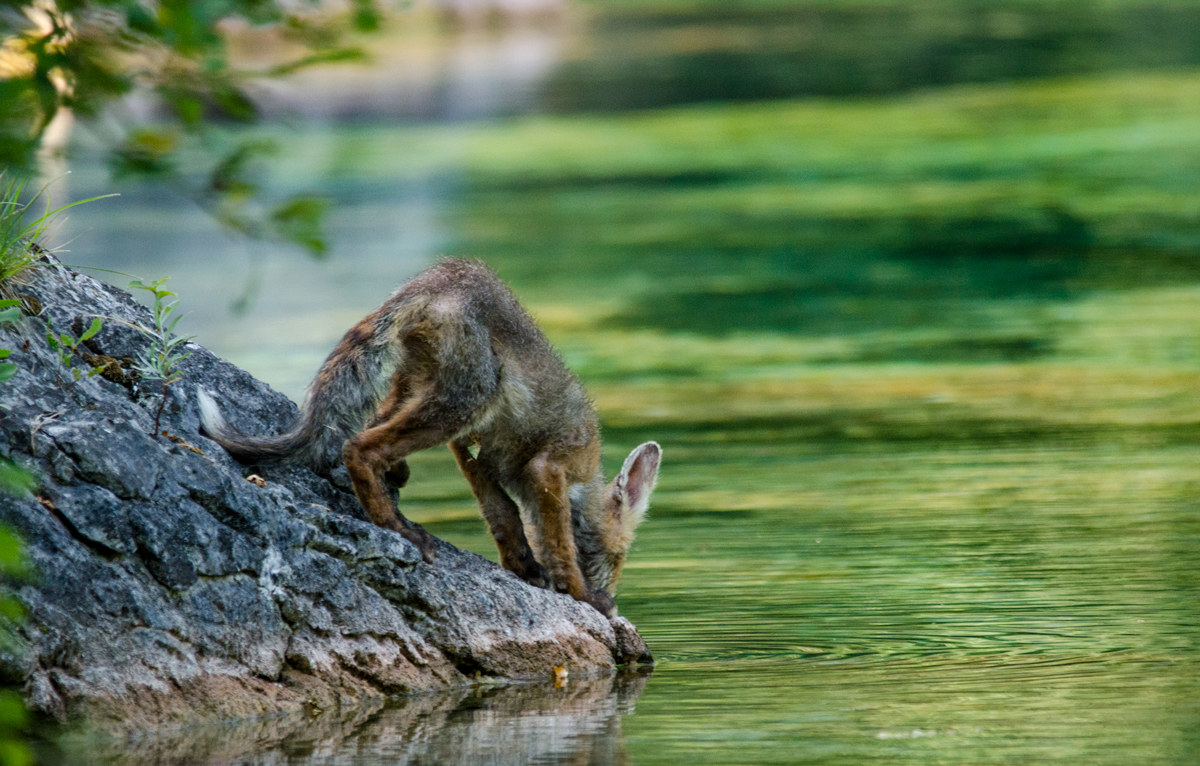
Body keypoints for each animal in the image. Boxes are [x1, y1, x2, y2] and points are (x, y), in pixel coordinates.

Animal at [197, 258, 660, 616]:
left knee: (371, 428)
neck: (584, 482)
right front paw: (585, 597)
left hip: (422, 391)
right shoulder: (550, 467)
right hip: (464, 400)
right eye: (619, 557)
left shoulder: (478, 452)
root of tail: (434, 277)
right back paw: (398, 529)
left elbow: (504, 517)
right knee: (358, 447)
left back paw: (395, 482)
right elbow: (561, 547)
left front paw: (525, 568)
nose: (616, 600)